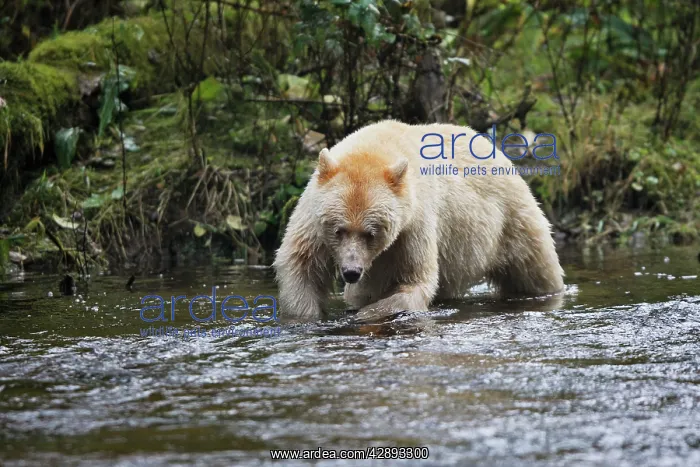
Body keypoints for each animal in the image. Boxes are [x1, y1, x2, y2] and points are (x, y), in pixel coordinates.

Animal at [273, 120, 564, 321]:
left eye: (371, 233)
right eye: (338, 230)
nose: (351, 272)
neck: (377, 146)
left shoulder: (413, 224)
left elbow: (417, 279)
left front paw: (369, 311)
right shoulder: (312, 218)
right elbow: (301, 264)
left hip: (512, 220)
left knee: (537, 269)